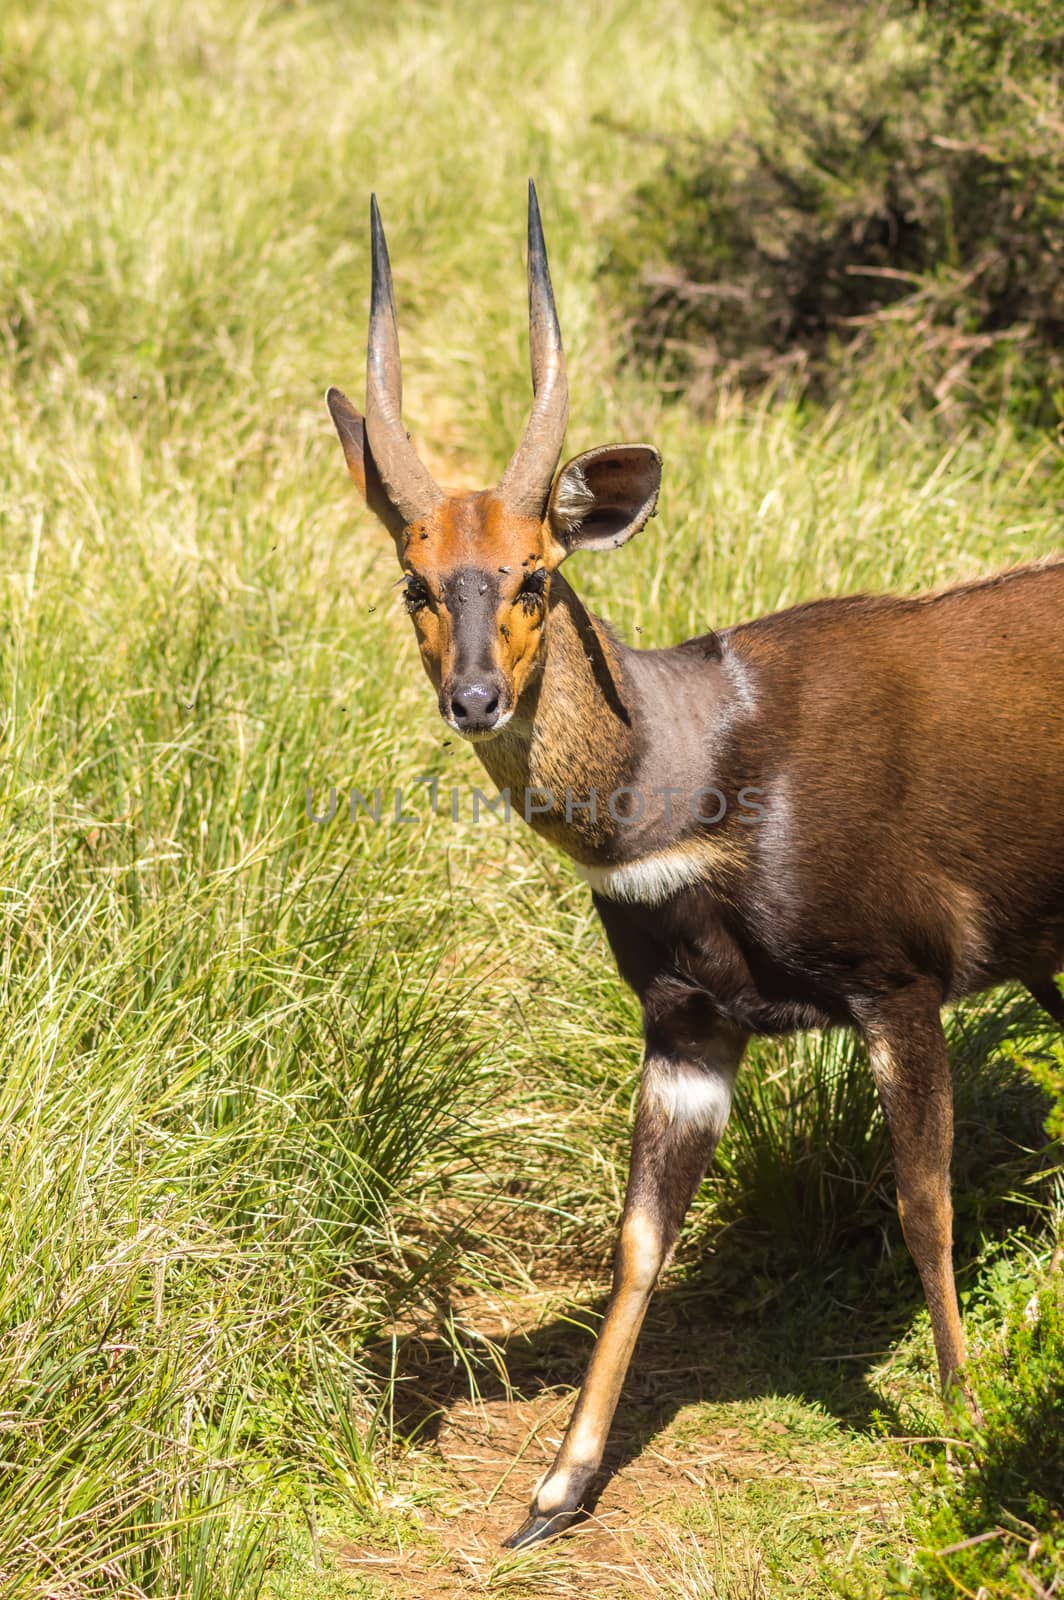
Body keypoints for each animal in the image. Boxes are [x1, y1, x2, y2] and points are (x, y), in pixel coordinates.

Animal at [326, 181, 1062, 1542]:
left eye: (536, 573)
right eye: (413, 579)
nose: (472, 696)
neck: (704, 771)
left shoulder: (901, 979)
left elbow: (921, 1201)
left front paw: (963, 1424)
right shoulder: (686, 1023)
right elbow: (634, 1240)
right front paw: (554, 1488)